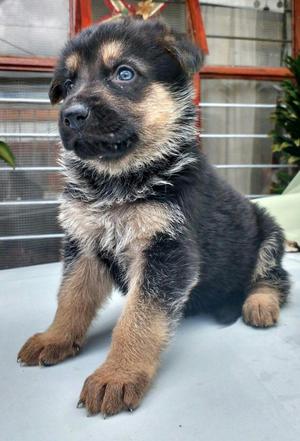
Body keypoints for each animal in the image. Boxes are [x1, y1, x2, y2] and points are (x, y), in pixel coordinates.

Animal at [17, 18, 290, 416]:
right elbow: (71, 298)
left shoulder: (166, 252)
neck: (118, 180)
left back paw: (259, 303)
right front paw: (55, 336)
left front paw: (117, 374)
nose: (70, 115)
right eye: (67, 85)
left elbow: (138, 320)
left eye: (124, 74)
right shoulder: (83, 245)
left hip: (268, 233)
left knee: (276, 278)